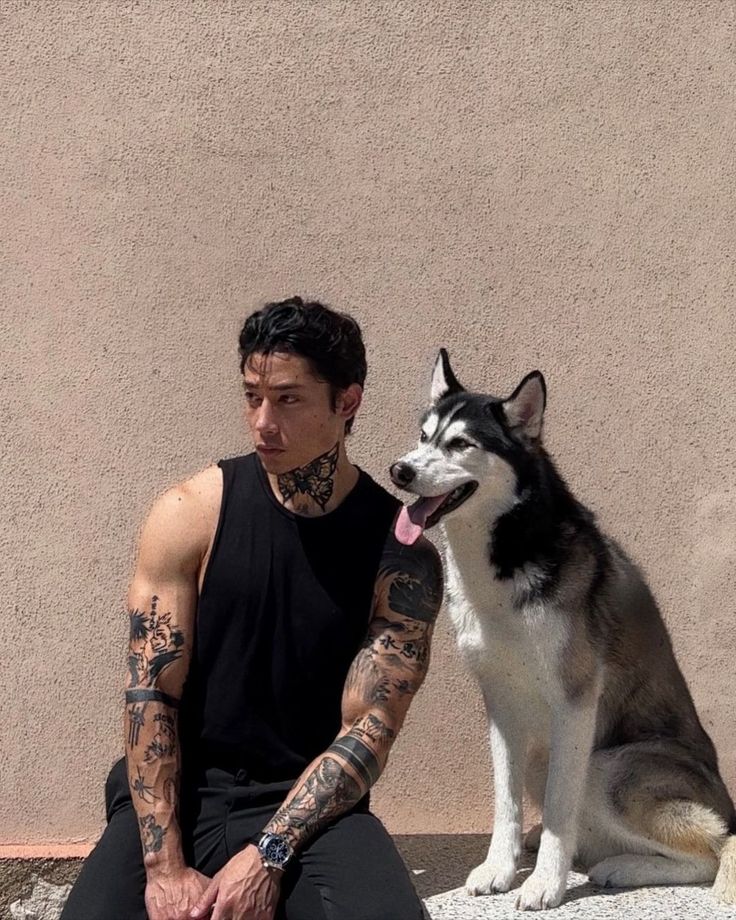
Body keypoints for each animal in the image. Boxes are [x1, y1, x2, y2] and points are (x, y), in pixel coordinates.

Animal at [392, 350, 736, 912]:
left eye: (461, 444)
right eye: (423, 436)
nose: (399, 470)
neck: (506, 557)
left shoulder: (575, 704)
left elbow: (559, 808)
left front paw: (544, 884)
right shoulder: (500, 704)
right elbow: (506, 801)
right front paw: (500, 867)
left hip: (608, 767)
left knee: (715, 848)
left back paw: (619, 865)